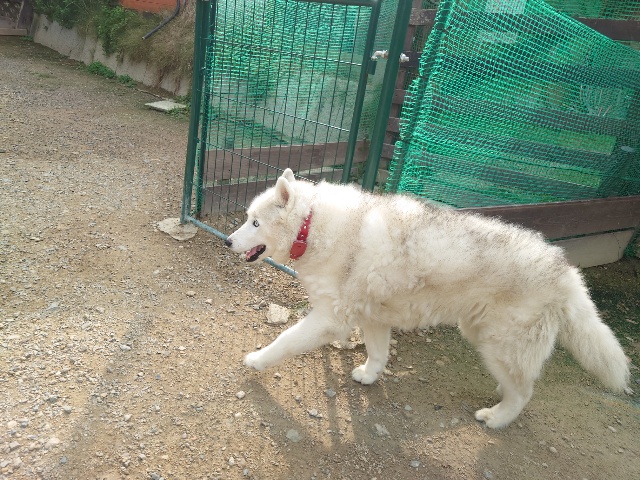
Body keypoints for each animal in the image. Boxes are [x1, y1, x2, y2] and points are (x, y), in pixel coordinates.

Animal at [225, 168, 631, 428]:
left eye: (255, 223)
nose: (227, 241)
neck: (311, 226)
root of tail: (565, 271)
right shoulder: (373, 318)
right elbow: (377, 354)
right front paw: (369, 376)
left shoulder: (329, 319)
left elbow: (284, 340)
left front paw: (257, 360)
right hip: (485, 335)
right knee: (518, 383)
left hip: (499, 343)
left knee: (524, 392)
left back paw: (497, 418)